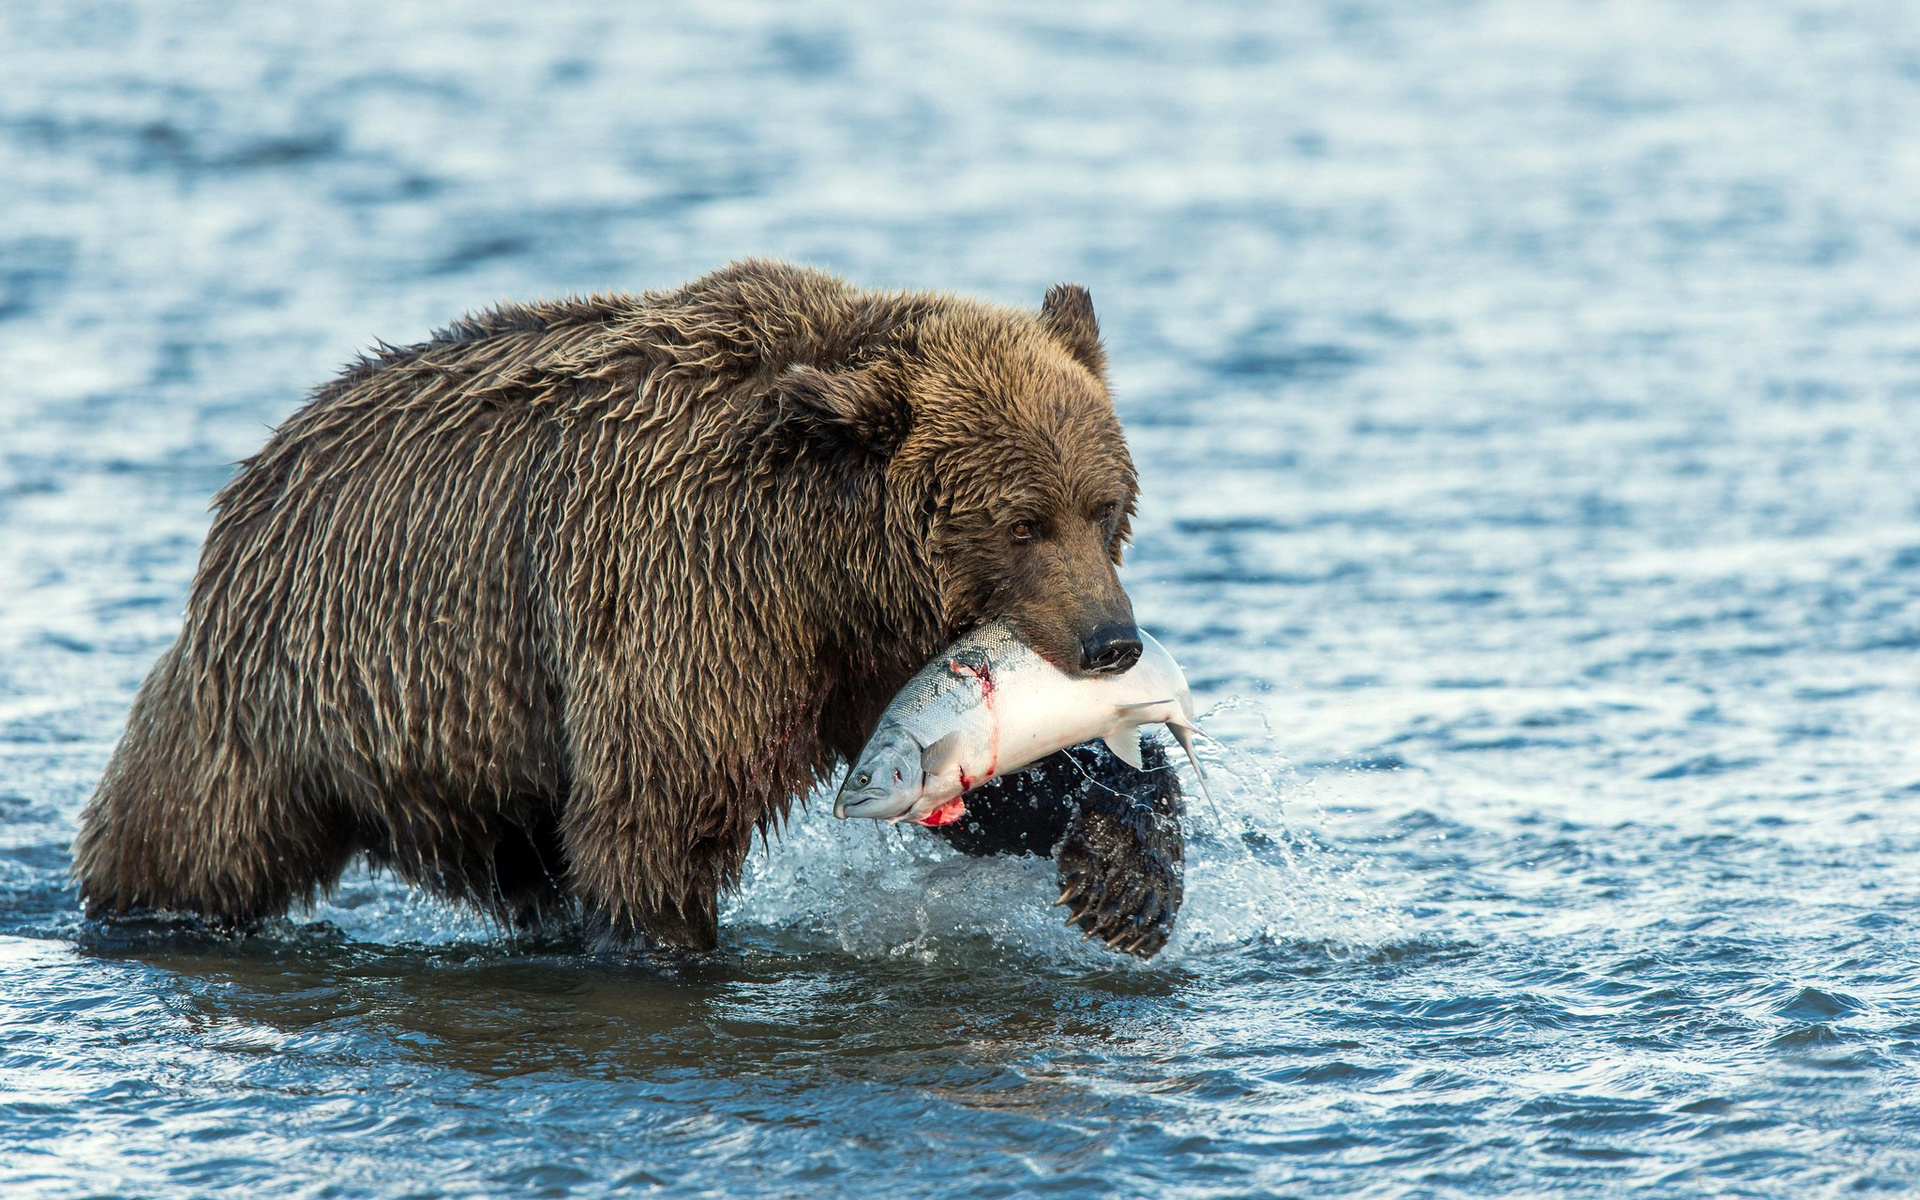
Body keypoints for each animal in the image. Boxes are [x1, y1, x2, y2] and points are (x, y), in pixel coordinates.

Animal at [71, 259, 1182, 956]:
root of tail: (259, 469)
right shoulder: (683, 597)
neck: (824, 563)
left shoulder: (855, 658)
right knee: (189, 835)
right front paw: (670, 941)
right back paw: (139, 910)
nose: (1112, 642)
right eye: (1021, 521)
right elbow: (658, 817)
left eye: (1103, 505)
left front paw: (1123, 876)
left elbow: (988, 783)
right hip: (293, 691)